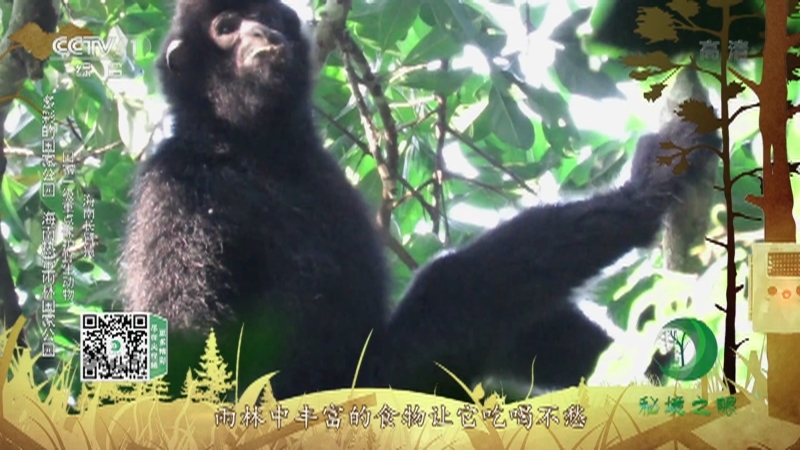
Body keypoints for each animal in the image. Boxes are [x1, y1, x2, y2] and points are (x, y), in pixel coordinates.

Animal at [119, 0, 721, 402]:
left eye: (263, 16)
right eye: (225, 27)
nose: (260, 31)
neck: (251, 148)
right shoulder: (174, 188)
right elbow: (189, 337)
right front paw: (645, 192)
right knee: (451, 284)